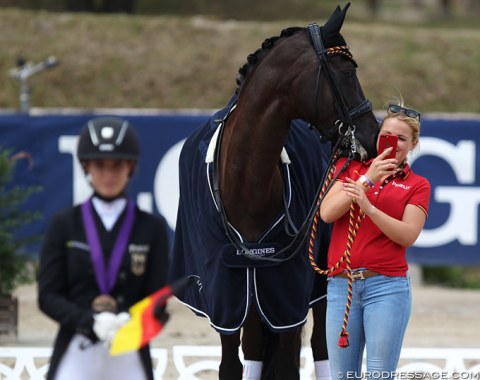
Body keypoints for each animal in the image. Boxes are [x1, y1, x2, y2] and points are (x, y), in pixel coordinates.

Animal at [169, 2, 378, 380]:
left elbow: (289, 363)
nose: (373, 135)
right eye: (346, 71)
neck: (245, 183)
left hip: (315, 285)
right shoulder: (228, 300)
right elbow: (231, 365)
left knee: (321, 348)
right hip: (253, 297)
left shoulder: (287, 299)